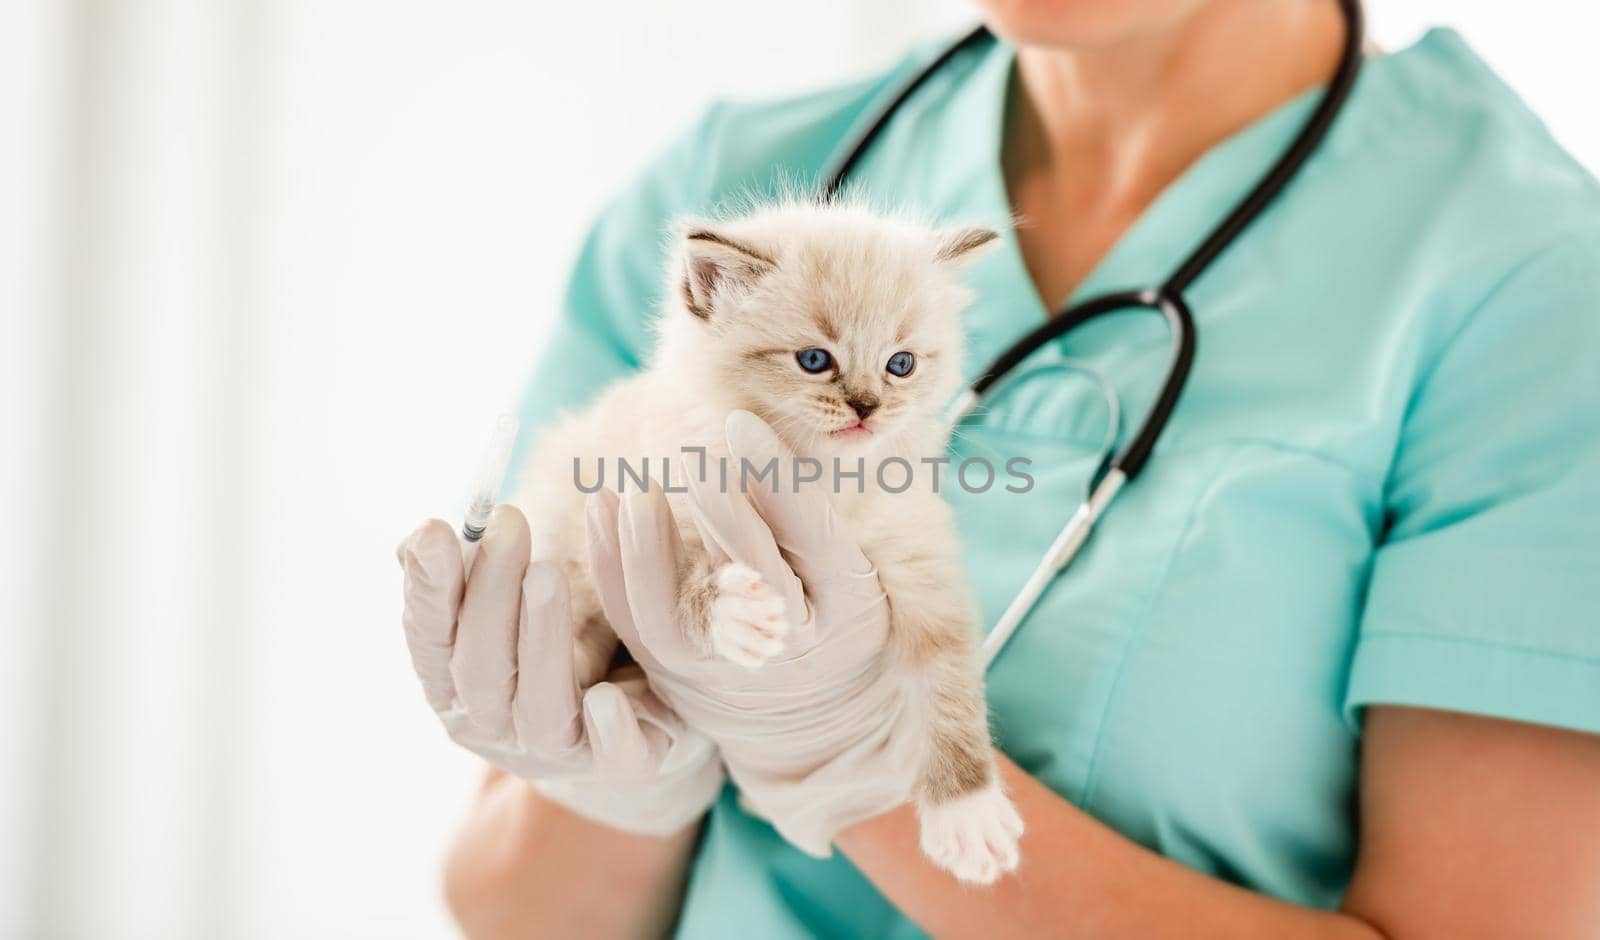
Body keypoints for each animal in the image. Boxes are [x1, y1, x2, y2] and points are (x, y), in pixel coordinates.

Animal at [518, 202, 1030, 882]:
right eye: (814, 360)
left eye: (901, 364)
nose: (867, 406)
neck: (817, 483)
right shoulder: (648, 522)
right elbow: (679, 587)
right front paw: (732, 611)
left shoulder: (921, 569)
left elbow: (948, 690)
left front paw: (966, 812)